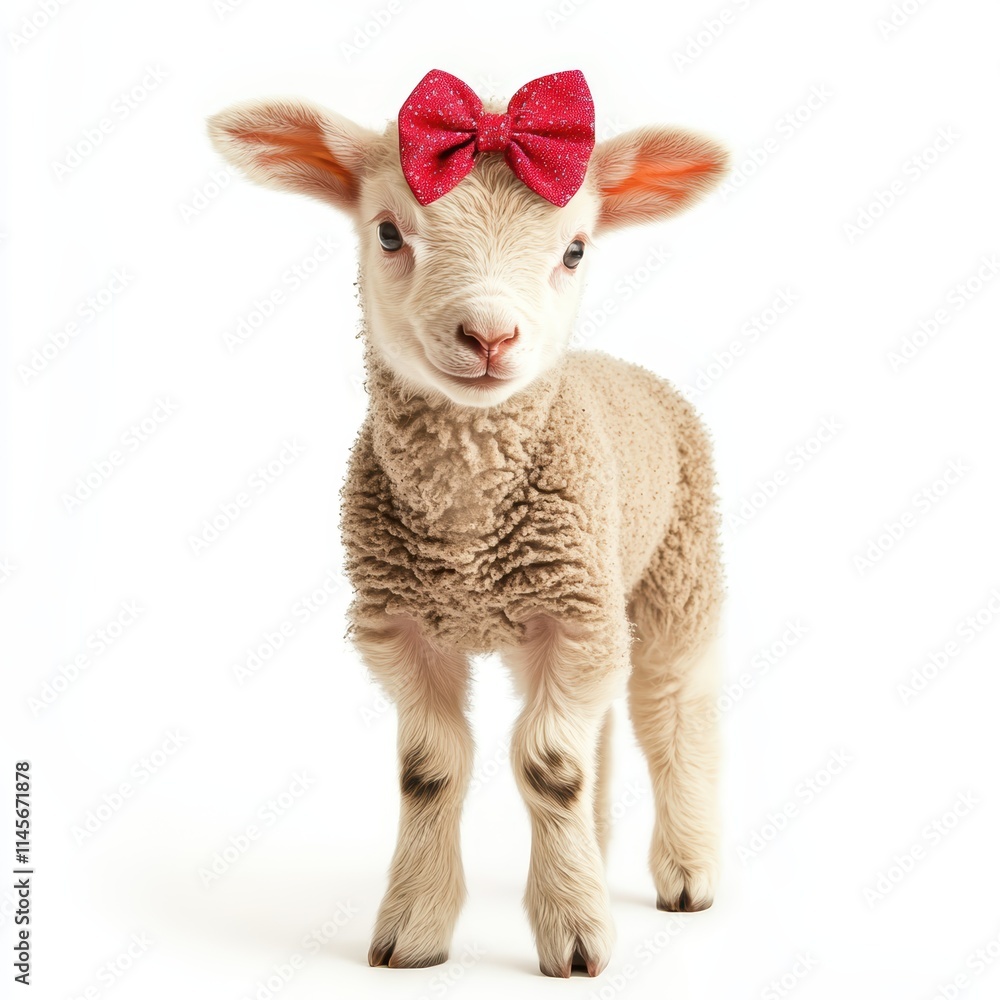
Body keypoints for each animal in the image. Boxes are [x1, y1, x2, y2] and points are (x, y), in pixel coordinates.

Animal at [208, 69, 728, 979]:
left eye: (575, 249)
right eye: (388, 232)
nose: (489, 335)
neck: (466, 525)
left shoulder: (573, 613)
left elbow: (547, 765)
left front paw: (575, 934)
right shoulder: (405, 623)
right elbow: (432, 768)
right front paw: (414, 929)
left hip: (676, 572)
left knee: (672, 712)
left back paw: (688, 869)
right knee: (599, 733)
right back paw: (596, 852)